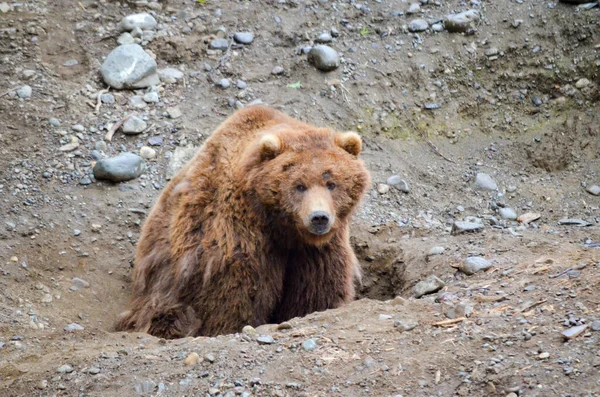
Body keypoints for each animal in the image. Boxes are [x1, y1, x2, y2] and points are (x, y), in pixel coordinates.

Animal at [113, 105, 370, 338]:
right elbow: (235, 295)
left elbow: (318, 289)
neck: (281, 228)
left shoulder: (317, 250)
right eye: (299, 185)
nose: (319, 218)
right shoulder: (232, 232)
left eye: (331, 183)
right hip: (162, 289)